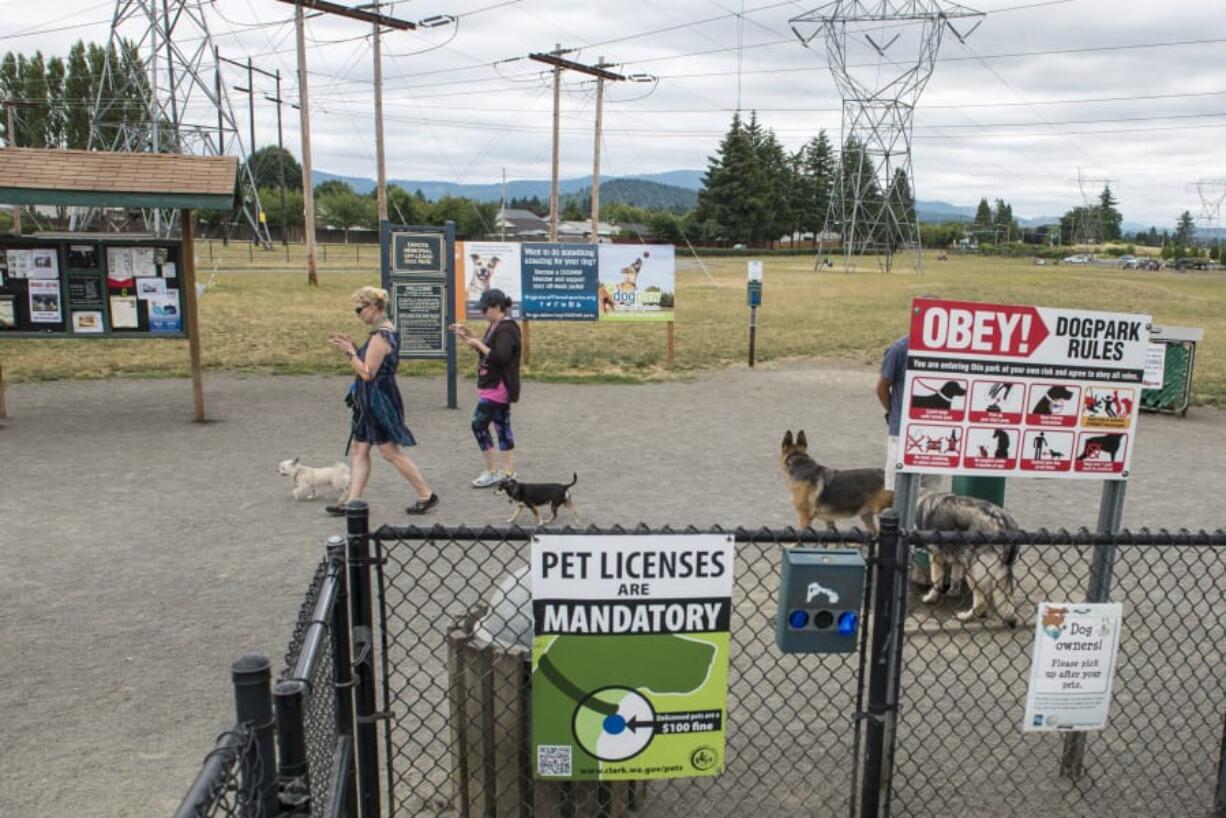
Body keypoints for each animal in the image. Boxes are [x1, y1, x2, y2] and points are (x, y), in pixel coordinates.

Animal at [917, 493, 1020, 627]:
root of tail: (1004, 525)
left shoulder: (935, 556)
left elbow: (936, 581)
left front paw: (930, 598)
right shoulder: (957, 559)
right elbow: (955, 578)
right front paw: (953, 592)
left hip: (972, 572)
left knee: (981, 601)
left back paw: (965, 617)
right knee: (991, 600)